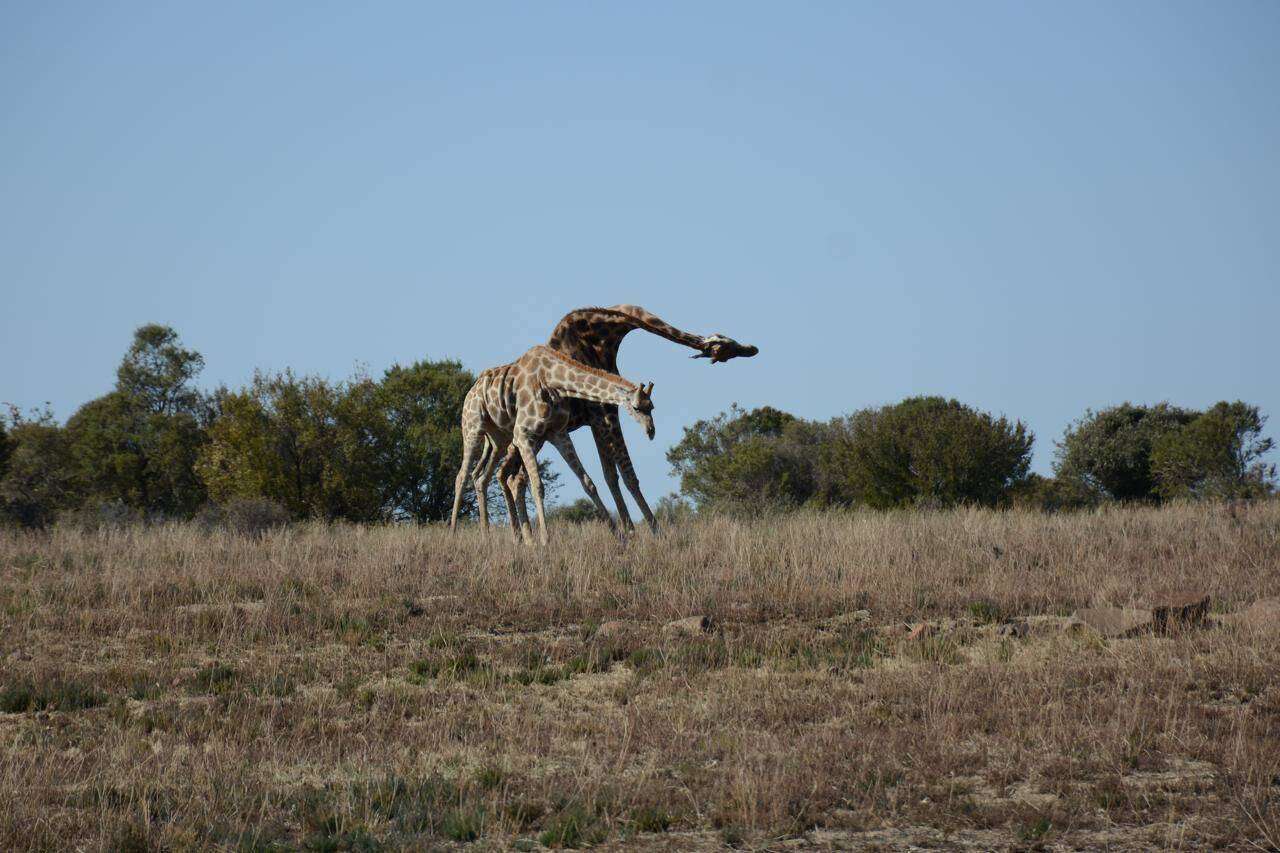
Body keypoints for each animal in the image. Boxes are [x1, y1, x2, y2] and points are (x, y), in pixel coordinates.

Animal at [450, 343, 655, 540]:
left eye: (651, 407)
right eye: (636, 407)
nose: (651, 431)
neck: (551, 379)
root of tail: (472, 389)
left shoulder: (558, 433)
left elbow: (588, 483)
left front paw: (619, 536)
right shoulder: (522, 435)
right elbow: (537, 486)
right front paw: (545, 540)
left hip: (498, 439)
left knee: (481, 478)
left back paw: (487, 537)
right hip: (472, 428)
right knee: (461, 476)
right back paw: (453, 534)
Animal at [499, 303, 757, 532]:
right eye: (726, 344)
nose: (752, 349)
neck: (604, 338)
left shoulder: (601, 417)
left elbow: (610, 474)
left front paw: (630, 531)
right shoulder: (604, 412)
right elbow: (626, 474)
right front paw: (652, 532)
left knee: (511, 478)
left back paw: (523, 538)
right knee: (513, 477)